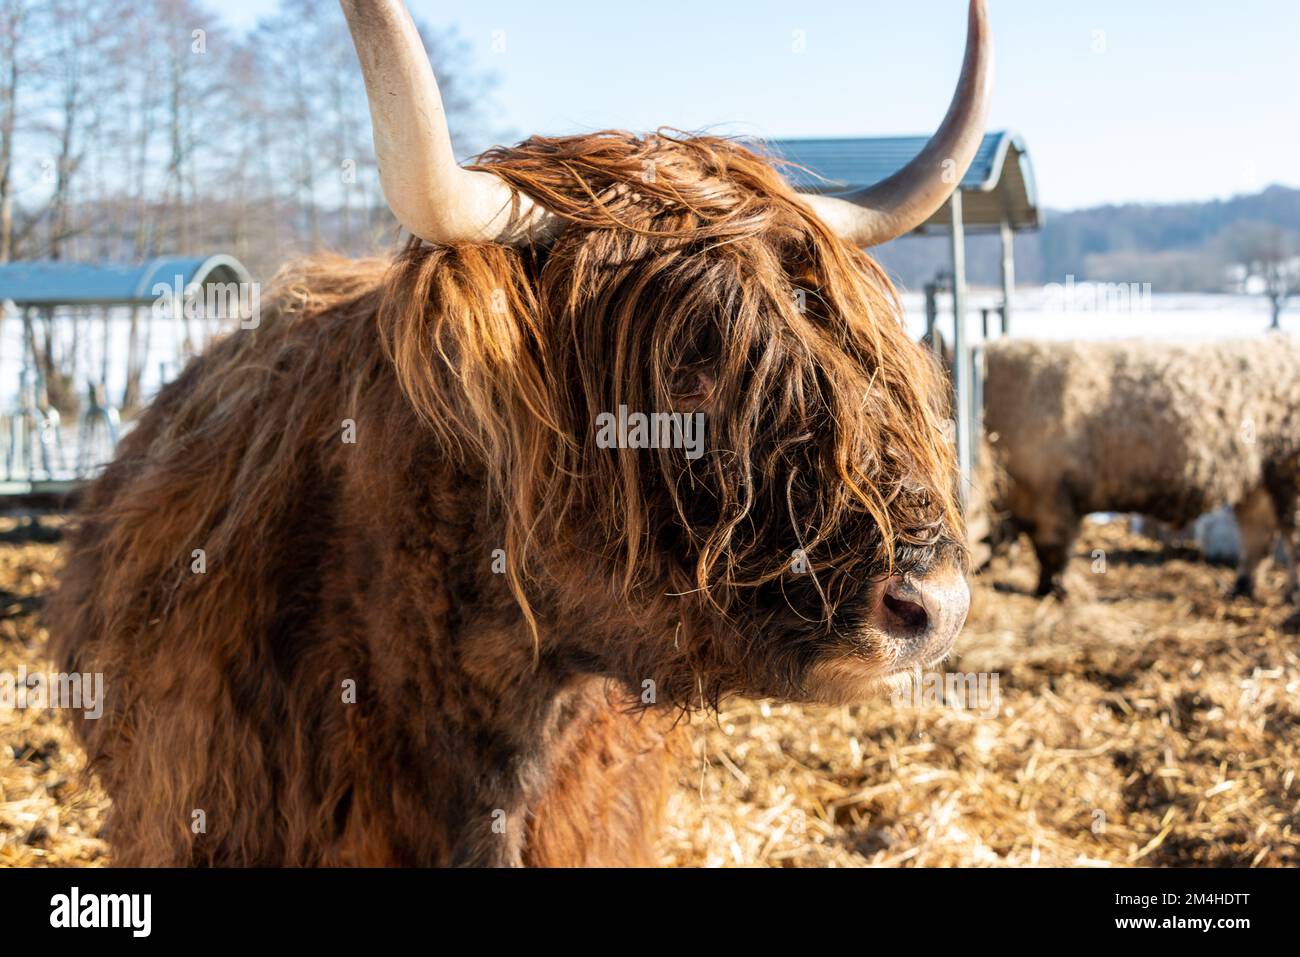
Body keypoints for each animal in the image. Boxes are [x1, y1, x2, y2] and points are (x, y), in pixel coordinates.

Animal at [982, 335, 1300, 598]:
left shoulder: (1052, 499)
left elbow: (1052, 551)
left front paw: (1052, 591)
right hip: (1256, 480)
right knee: (1257, 532)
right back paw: (1242, 589)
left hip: (1287, 473)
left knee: (1288, 532)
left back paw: (1291, 596)